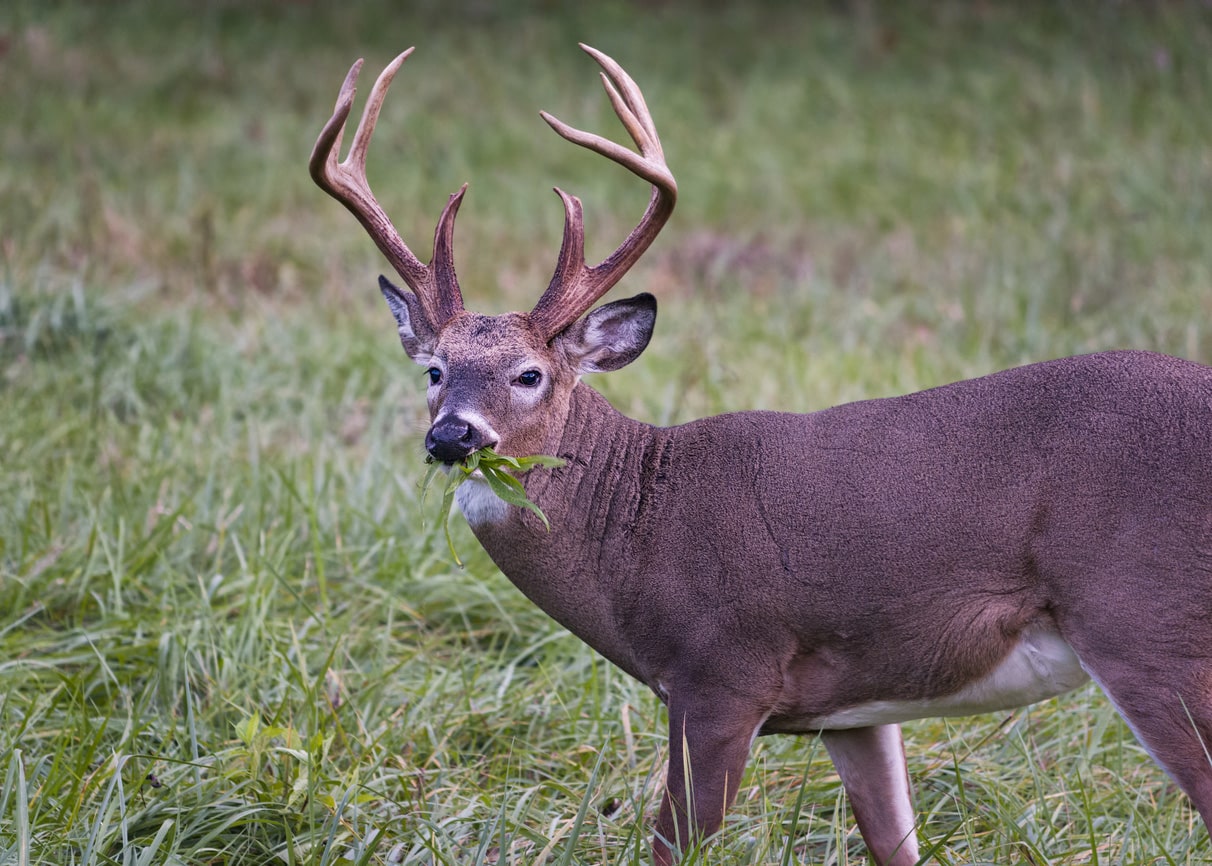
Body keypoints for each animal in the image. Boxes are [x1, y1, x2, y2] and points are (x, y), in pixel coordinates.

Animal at [312, 42, 1212, 866]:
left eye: (529, 374)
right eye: (433, 369)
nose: (453, 436)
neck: (637, 532)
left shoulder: (720, 673)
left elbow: (673, 847)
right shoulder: (855, 707)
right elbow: (895, 842)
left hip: (1146, 619)